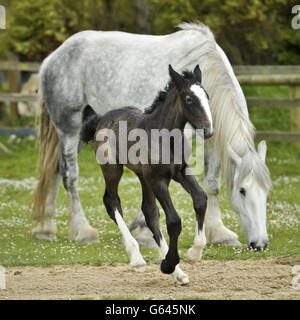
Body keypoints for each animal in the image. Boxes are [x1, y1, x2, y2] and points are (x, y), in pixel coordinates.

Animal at [32, 23, 272, 251]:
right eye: (242, 191)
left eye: (267, 191)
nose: (260, 244)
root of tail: (51, 60)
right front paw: (144, 232)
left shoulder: (211, 140)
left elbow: (212, 185)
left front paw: (220, 233)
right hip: (69, 129)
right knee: (70, 175)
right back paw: (82, 230)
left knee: (55, 169)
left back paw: (45, 229)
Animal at [80, 63, 213, 284]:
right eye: (189, 99)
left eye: (207, 96)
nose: (208, 130)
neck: (164, 137)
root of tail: (100, 119)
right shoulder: (158, 180)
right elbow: (174, 220)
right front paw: (168, 264)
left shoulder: (181, 172)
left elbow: (201, 199)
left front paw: (194, 253)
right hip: (113, 169)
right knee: (112, 201)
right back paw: (137, 259)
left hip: (143, 177)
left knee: (150, 212)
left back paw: (178, 273)